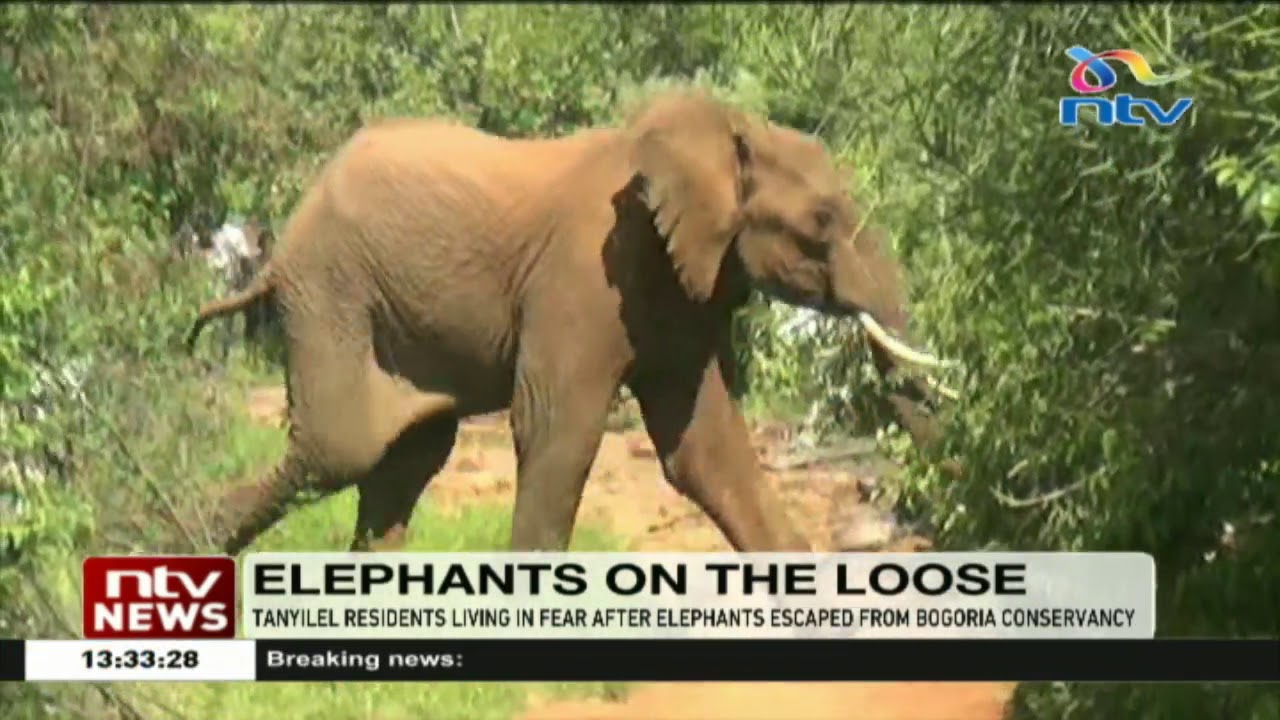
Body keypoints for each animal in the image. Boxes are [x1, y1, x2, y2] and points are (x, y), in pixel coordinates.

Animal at [185, 89, 959, 556]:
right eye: (822, 222)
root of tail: (281, 241)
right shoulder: (586, 272)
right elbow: (558, 424)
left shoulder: (675, 286)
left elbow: (702, 447)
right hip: (330, 294)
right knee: (343, 448)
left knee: (405, 455)